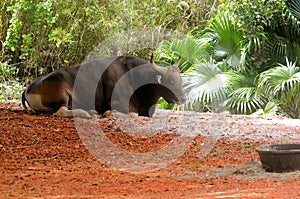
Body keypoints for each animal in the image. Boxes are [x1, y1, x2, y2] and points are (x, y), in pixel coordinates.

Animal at [22, 54, 185, 118]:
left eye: (181, 81)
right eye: (171, 82)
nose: (183, 99)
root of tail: (29, 88)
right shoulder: (118, 102)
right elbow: (133, 113)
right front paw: (108, 113)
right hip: (62, 92)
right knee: (60, 111)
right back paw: (86, 113)